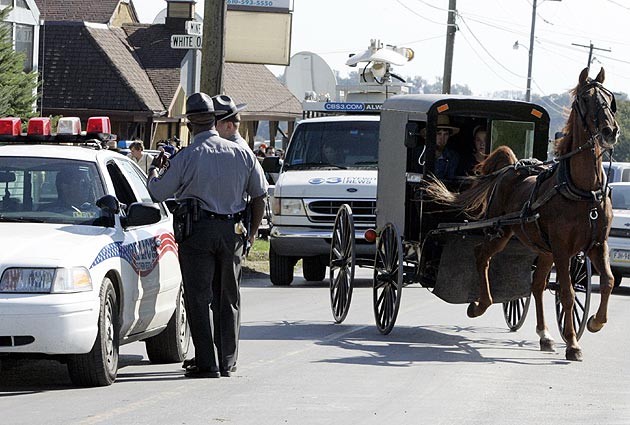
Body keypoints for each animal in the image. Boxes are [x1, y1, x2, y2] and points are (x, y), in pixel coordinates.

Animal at [424, 68, 618, 361]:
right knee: (481, 255)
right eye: (586, 99)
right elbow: (567, 292)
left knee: (536, 285)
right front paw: (573, 344)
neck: (583, 190)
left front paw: (595, 322)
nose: (610, 131)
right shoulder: (562, 249)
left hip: (543, 249)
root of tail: (510, 168)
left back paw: (545, 336)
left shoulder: (597, 244)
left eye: (609, 97)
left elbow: (607, 282)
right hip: (502, 232)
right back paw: (479, 305)